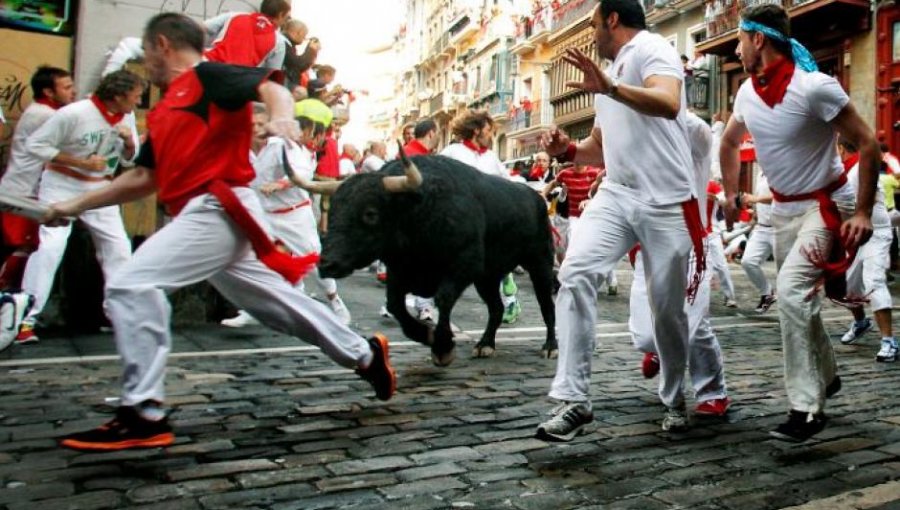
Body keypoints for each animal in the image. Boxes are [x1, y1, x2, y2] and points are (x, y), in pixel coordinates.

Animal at [316, 153, 556, 364]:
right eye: (333, 209)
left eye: (370, 213)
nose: (326, 263)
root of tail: (536, 197)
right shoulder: (399, 272)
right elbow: (394, 304)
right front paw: (424, 335)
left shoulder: (463, 266)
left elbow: (443, 299)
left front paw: (442, 347)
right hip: (487, 277)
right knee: (496, 308)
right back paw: (485, 344)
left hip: (540, 263)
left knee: (546, 304)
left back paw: (550, 346)